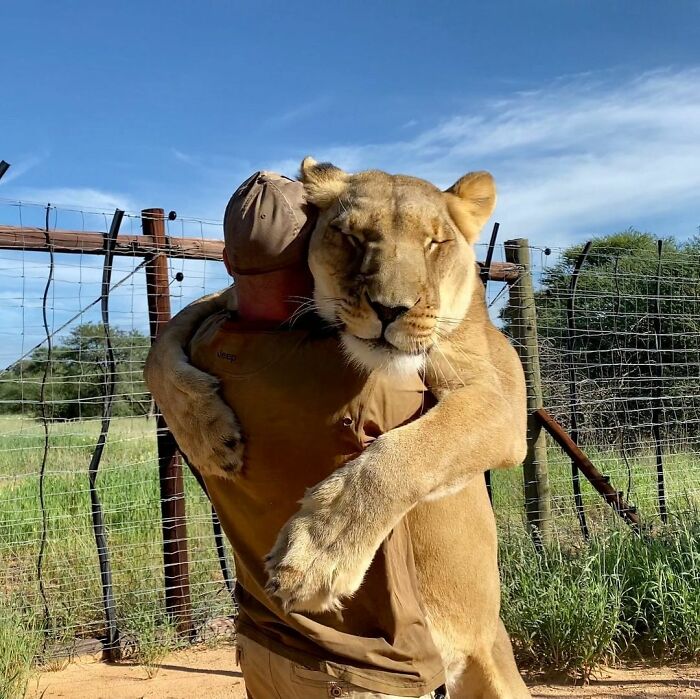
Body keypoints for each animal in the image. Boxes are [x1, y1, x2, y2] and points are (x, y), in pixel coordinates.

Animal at [144, 158, 530, 699]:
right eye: (350, 237)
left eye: (435, 243)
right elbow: (161, 347)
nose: (390, 309)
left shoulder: (502, 400)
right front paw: (210, 436)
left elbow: (407, 453)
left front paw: (315, 557)